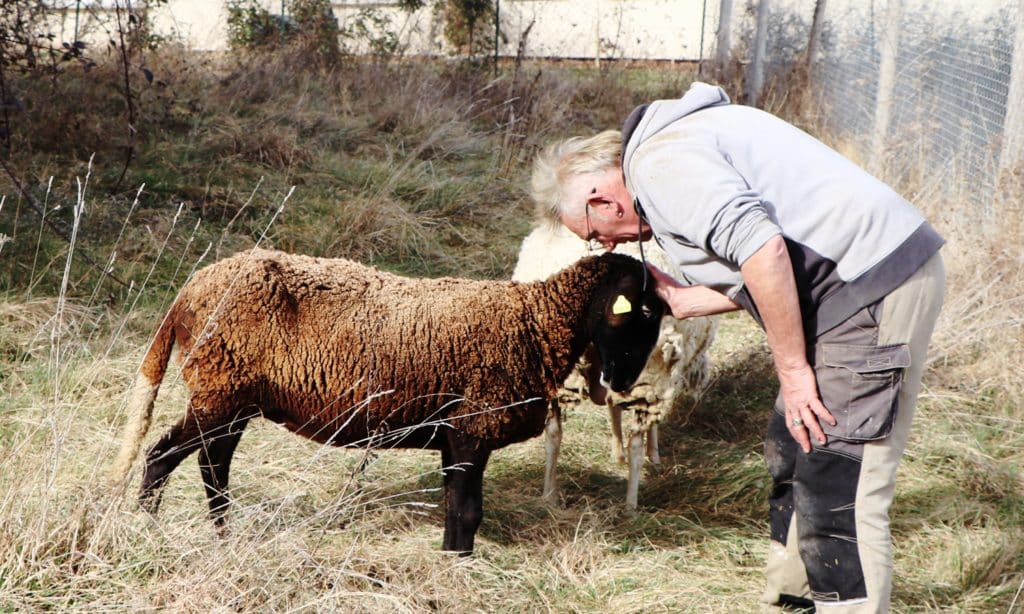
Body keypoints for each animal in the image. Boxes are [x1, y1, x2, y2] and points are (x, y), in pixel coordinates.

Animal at [112, 246, 667, 552]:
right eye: (637, 313)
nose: (623, 382)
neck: (536, 321)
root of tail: (188, 292)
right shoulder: (471, 429)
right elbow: (468, 512)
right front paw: (460, 563)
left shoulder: (454, 435)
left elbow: (454, 509)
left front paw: (451, 559)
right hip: (220, 391)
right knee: (172, 456)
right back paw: (161, 529)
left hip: (230, 398)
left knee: (203, 461)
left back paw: (208, 532)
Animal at [509, 223, 716, 505]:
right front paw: (652, 455)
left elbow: (612, 404)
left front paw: (618, 453)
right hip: (645, 369)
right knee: (635, 442)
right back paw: (631, 505)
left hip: (557, 369)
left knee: (553, 431)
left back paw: (549, 496)